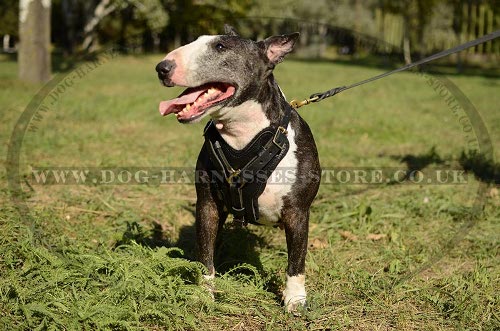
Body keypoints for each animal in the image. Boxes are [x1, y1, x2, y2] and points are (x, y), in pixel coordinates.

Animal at [155, 26, 320, 314]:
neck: (243, 134)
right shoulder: (207, 205)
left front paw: (295, 300)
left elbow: (297, 261)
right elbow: (205, 255)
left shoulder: (298, 212)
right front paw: (204, 294)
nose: (162, 68)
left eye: (221, 47)